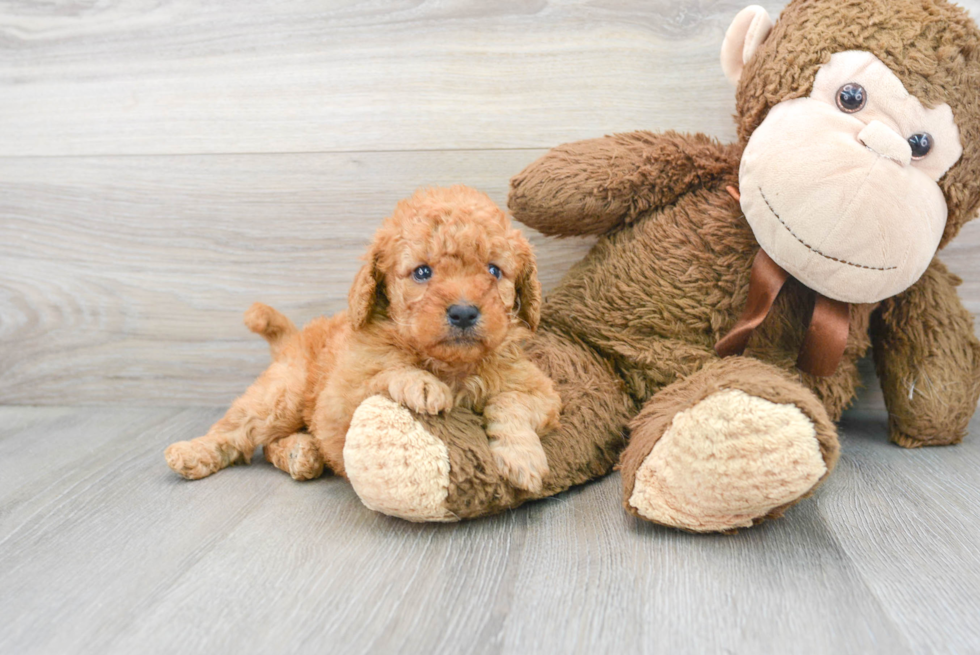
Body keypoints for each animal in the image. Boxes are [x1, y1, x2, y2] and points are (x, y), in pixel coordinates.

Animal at [167, 184, 560, 492]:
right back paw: (191, 453)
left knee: (269, 443)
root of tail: (293, 339)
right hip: (283, 394)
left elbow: (511, 403)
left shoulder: (541, 392)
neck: (451, 365)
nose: (463, 312)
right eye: (422, 272)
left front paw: (522, 458)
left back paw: (300, 453)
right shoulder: (337, 401)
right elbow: (383, 372)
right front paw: (421, 383)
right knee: (238, 430)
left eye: (494, 271)